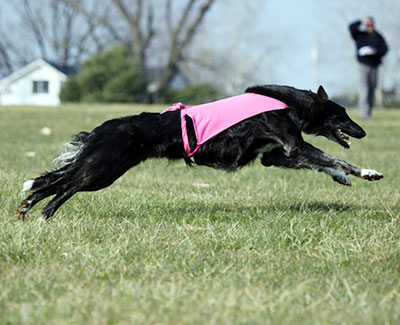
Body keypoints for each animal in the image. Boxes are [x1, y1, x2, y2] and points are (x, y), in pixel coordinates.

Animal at [18, 85, 384, 219]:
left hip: (99, 166)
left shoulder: (275, 155)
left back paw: (26, 209)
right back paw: (43, 215)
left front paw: (341, 178)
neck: (291, 102)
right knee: (65, 187)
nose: (364, 131)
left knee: (51, 182)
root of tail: (101, 128)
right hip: (103, 170)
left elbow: (323, 163)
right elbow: (334, 157)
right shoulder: (293, 144)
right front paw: (368, 172)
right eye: (344, 114)